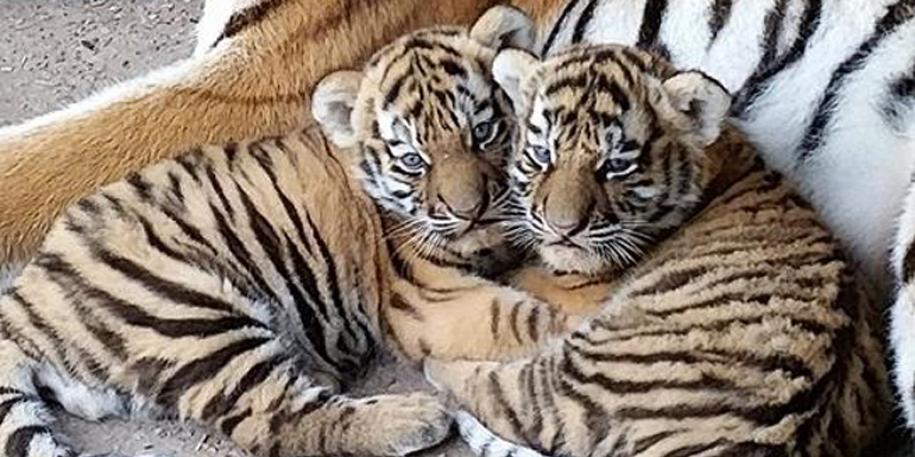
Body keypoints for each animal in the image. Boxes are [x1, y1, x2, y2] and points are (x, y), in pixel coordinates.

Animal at [0, 11, 568, 456]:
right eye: (413, 160)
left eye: (483, 133)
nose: (471, 210)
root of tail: (26, 297)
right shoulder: (431, 300)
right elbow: (526, 318)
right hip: (189, 313)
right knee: (276, 420)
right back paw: (415, 418)